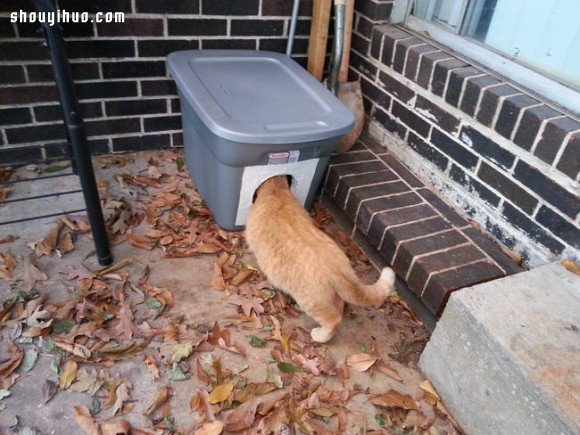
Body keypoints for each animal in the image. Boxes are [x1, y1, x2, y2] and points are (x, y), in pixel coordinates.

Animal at [245, 175, 394, 344]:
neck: (276, 191)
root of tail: (340, 269)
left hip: (311, 302)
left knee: (334, 319)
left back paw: (320, 335)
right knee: (339, 308)